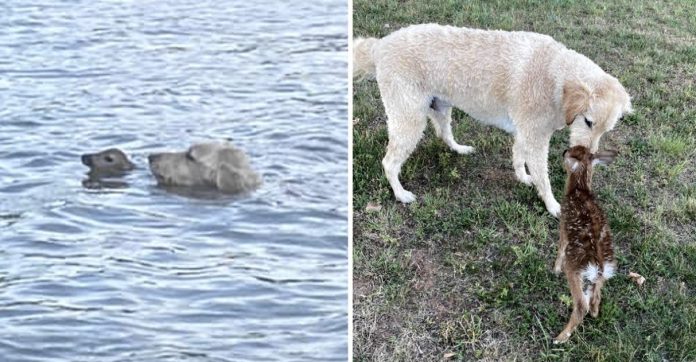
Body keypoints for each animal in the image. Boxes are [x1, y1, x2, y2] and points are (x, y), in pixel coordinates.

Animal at [354, 24, 632, 216]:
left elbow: (519, 157)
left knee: (443, 134)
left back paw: (459, 149)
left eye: (606, 130)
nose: (589, 159)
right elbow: (543, 177)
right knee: (389, 162)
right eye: (588, 122)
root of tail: (380, 45)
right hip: (409, 120)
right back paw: (401, 194)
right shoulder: (535, 138)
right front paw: (552, 205)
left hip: (439, 107)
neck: (556, 75)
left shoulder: (525, 133)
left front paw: (523, 178)